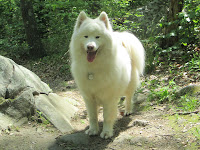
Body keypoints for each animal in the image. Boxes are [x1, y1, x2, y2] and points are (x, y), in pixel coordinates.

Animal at [69, 11, 145, 139]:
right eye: (86, 36)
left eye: (97, 37)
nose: (90, 46)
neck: (93, 69)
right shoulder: (88, 97)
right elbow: (93, 116)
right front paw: (93, 130)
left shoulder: (109, 98)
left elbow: (107, 117)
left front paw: (107, 132)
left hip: (129, 83)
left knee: (129, 97)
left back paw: (128, 110)